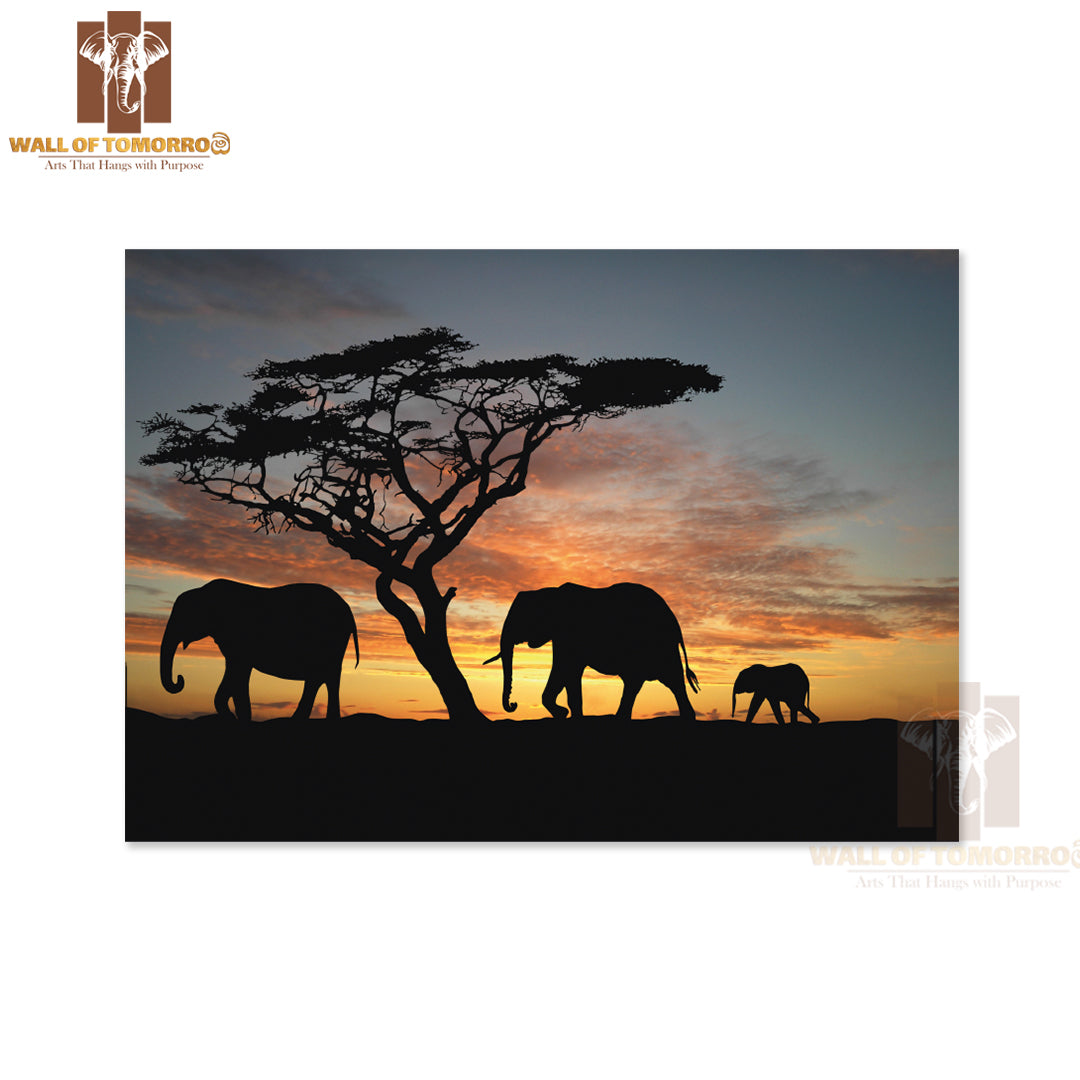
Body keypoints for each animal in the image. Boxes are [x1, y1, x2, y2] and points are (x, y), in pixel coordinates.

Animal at [159, 579, 359, 722]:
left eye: (183, 617)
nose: (180, 679)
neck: (203, 591)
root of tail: (348, 611)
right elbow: (234, 674)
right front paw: (234, 717)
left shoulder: (239, 637)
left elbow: (239, 673)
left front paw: (239, 718)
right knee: (321, 678)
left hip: (331, 639)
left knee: (324, 677)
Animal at [483, 582, 700, 721]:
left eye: (520, 618)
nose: (513, 705)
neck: (548, 592)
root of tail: (674, 621)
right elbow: (565, 672)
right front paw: (564, 714)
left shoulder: (568, 633)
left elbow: (566, 669)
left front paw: (566, 714)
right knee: (647, 682)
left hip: (658, 644)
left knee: (667, 680)